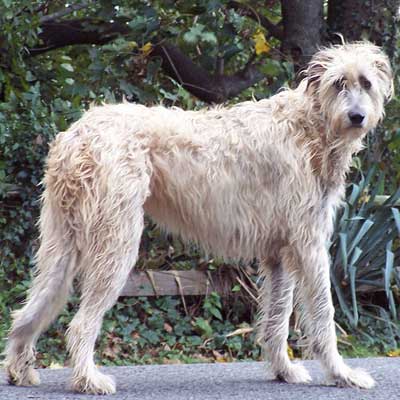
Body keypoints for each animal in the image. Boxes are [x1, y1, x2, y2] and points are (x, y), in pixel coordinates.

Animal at [3, 41, 394, 394]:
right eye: (338, 83)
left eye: (366, 83)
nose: (357, 117)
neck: (310, 125)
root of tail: (74, 136)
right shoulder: (309, 244)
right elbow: (324, 314)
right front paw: (342, 374)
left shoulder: (279, 252)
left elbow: (277, 317)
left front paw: (283, 370)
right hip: (116, 243)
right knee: (80, 324)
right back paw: (87, 379)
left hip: (62, 242)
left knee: (30, 309)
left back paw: (20, 368)